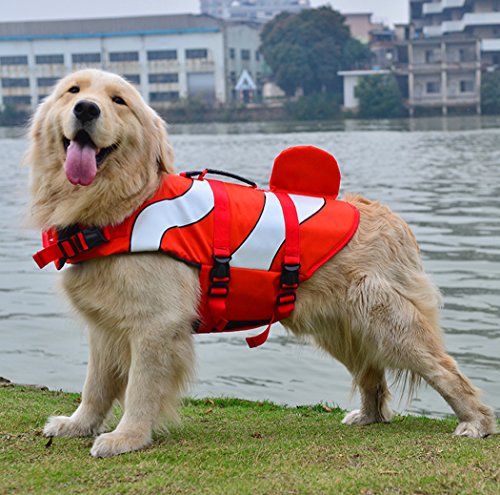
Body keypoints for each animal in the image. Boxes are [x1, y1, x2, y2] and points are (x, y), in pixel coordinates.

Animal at [26, 69, 496, 458]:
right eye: (73, 91)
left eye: (118, 100)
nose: (86, 109)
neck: (119, 207)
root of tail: (390, 217)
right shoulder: (105, 325)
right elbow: (96, 385)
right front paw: (78, 424)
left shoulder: (155, 326)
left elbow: (140, 388)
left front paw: (127, 437)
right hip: (341, 326)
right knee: (371, 374)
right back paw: (370, 415)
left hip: (386, 320)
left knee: (444, 369)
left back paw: (475, 421)